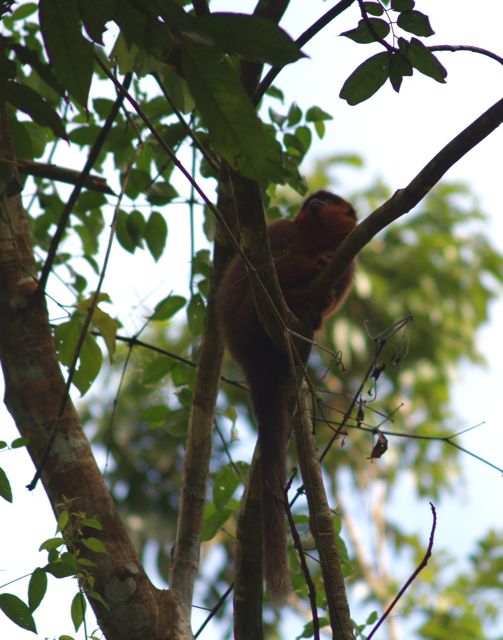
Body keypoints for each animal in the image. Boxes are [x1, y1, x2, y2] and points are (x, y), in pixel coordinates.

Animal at [216, 191, 357, 605]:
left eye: (327, 200)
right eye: (315, 198)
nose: (315, 202)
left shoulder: (350, 261)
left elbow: (336, 287)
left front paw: (322, 285)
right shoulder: (280, 230)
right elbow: (269, 267)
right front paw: (314, 266)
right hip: (244, 314)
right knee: (260, 285)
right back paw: (296, 300)